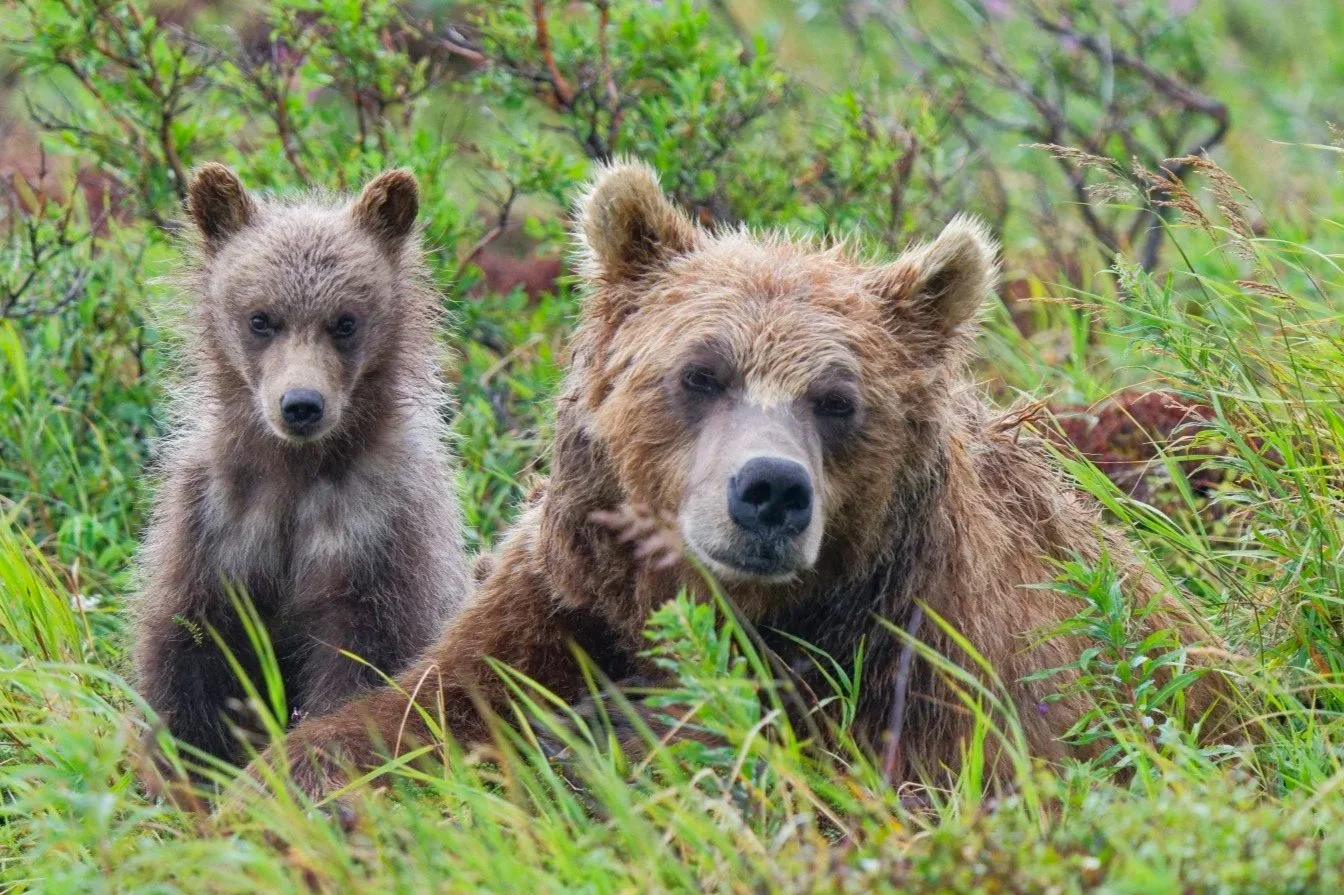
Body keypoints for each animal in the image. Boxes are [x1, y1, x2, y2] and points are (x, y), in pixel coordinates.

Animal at [132, 164, 469, 768]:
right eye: (261, 318)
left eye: (345, 321)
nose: (301, 405)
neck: (296, 470)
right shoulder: (216, 517)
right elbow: (190, 654)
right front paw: (184, 765)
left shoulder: (378, 530)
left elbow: (364, 662)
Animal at [260, 160, 1226, 798]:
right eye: (701, 372)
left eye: (838, 400)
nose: (769, 490)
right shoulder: (565, 607)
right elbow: (414, 720)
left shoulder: (921, 662)